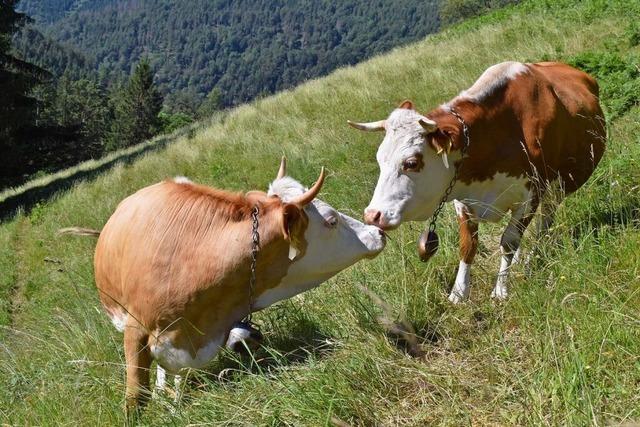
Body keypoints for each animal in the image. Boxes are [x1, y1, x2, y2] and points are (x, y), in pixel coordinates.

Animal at [350, 61, 604, 304]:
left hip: (556, 189)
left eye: (411, 162)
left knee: (543, 225)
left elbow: (509, 241)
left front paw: (501, 290)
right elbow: (468, 246)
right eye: (380, 159)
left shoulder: (531, 195)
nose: (373, 215)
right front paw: (459, 293)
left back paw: (532, 260)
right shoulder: (463, 201)